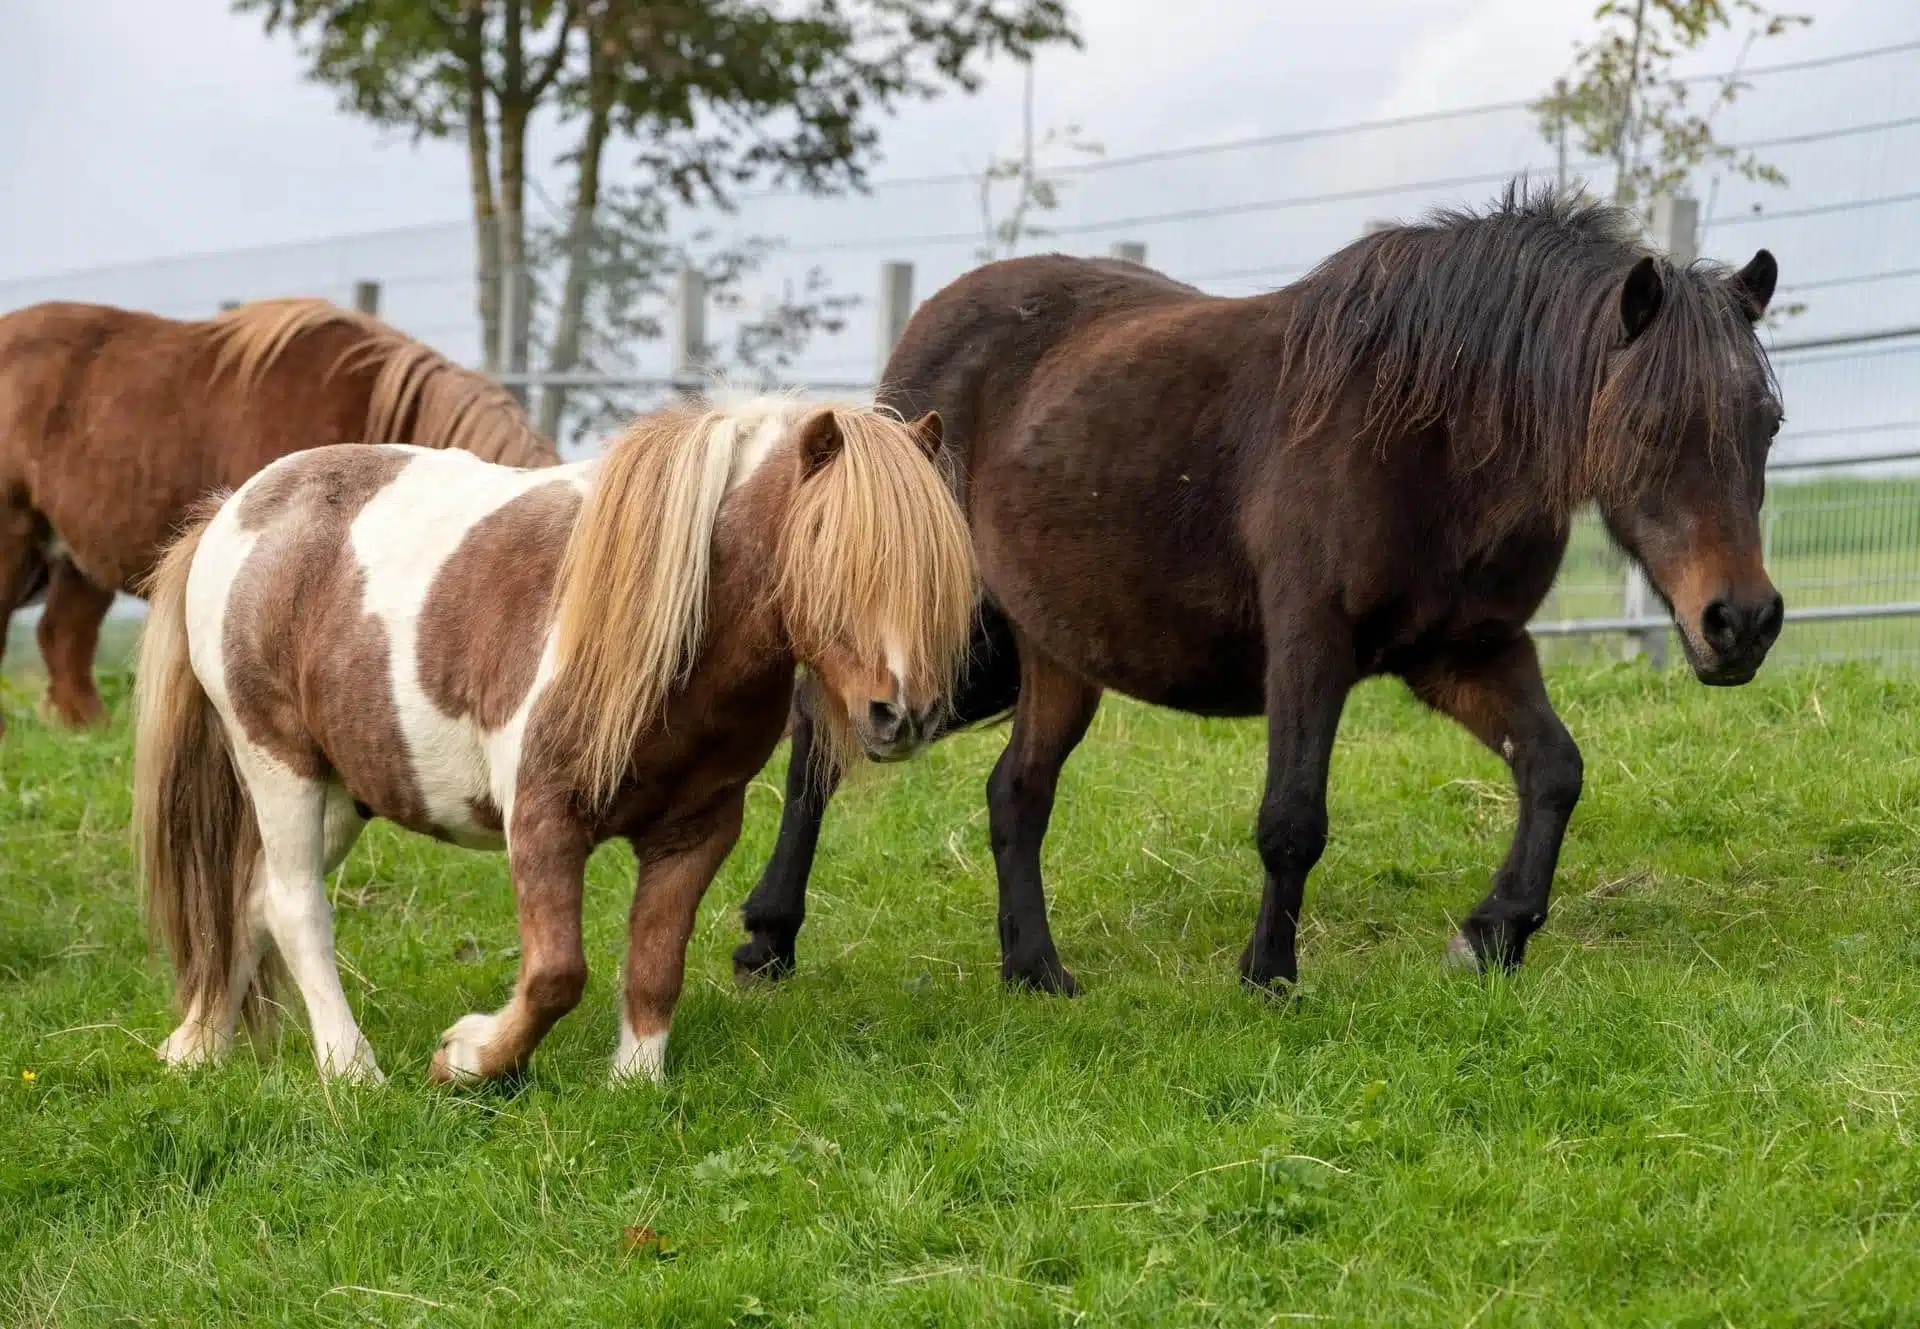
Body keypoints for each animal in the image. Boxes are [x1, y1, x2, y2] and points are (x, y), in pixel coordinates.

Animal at [135, 391, 975, 1083]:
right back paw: (351, 1069)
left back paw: (198, 1046)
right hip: (281, 768)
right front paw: (467, 1060)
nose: (901, 714)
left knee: (252, 902)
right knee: (296, 907)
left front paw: (634, 1082)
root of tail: (236, 512)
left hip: (345, 793)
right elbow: (556, 974)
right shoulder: (542, 817)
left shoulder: (697, 830)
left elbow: (655, 963)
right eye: (826, 537)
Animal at [733, 187, 1781, 998]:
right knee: (820, 740)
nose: (1743, 621)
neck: (1429, 435)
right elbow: (1292, 821)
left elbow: (1555, 769)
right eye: (1648, 424)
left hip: (1049, 655)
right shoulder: (1310, 645)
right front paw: (1269, 973)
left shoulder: (1466, 649)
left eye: (1765, 422)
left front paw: (1492, 933)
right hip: (946, 640)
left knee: (1015, 792)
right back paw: (768, 937)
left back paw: (1035, 969)